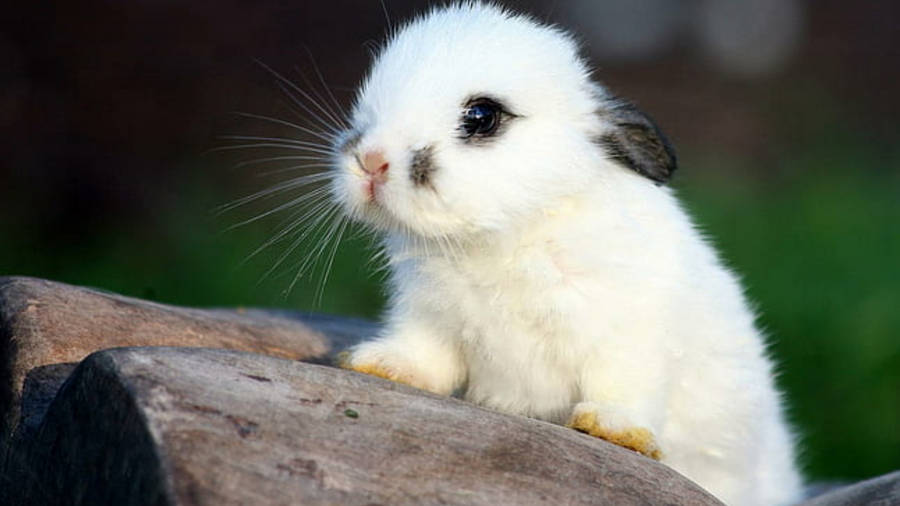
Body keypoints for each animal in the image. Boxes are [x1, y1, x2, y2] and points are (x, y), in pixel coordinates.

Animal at [327, 3, 803, 504]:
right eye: (369, 101)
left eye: (481, 116)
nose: (371, 161)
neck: (505, 236)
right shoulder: (428, 318)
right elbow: (425, 356)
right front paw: (380, 364)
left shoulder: (627, 334)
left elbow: (623, 383)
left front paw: (612, 429)